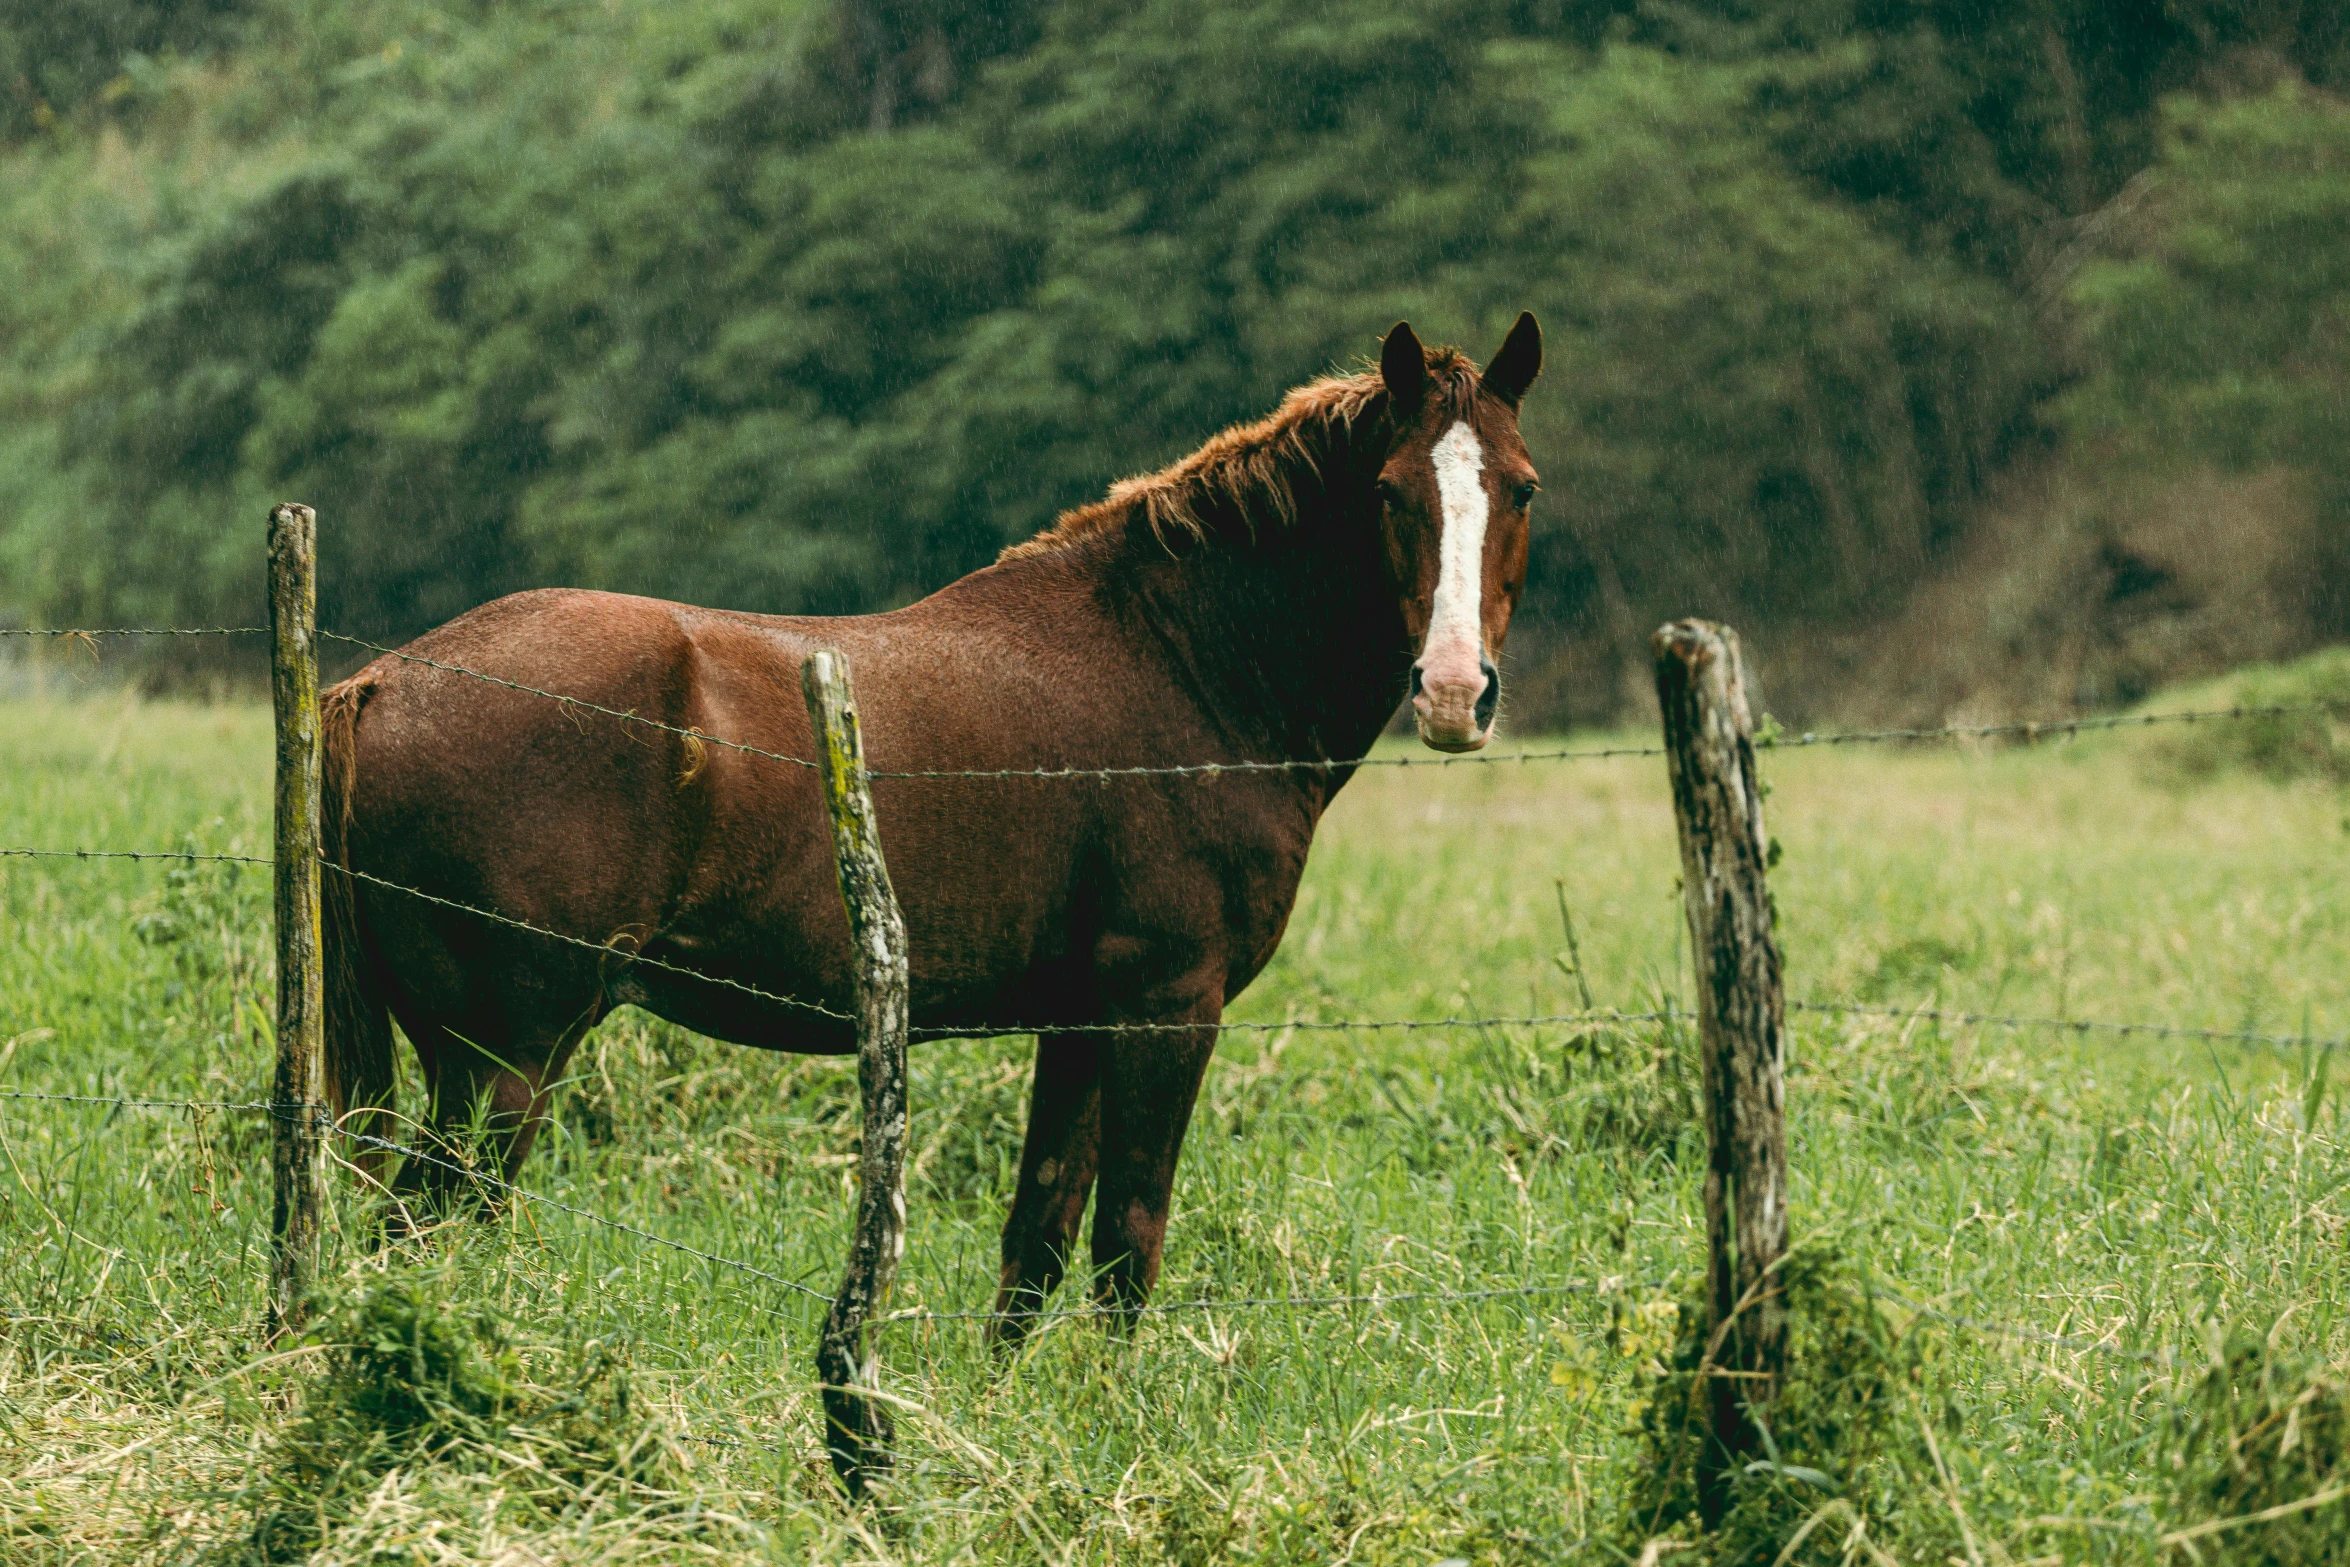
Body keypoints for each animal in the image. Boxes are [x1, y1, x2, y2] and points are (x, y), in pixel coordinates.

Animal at [326, 314, 1541, 1334]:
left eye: (1521, 489)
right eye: (1389, 491)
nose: (1452, 691)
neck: (1182, 664)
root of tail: (382, 682)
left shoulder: (1080, 1021)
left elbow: (1038, 1239)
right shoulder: (1165, 1008)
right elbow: (1126, 1243)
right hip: (503, 1064)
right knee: (423, 1228)